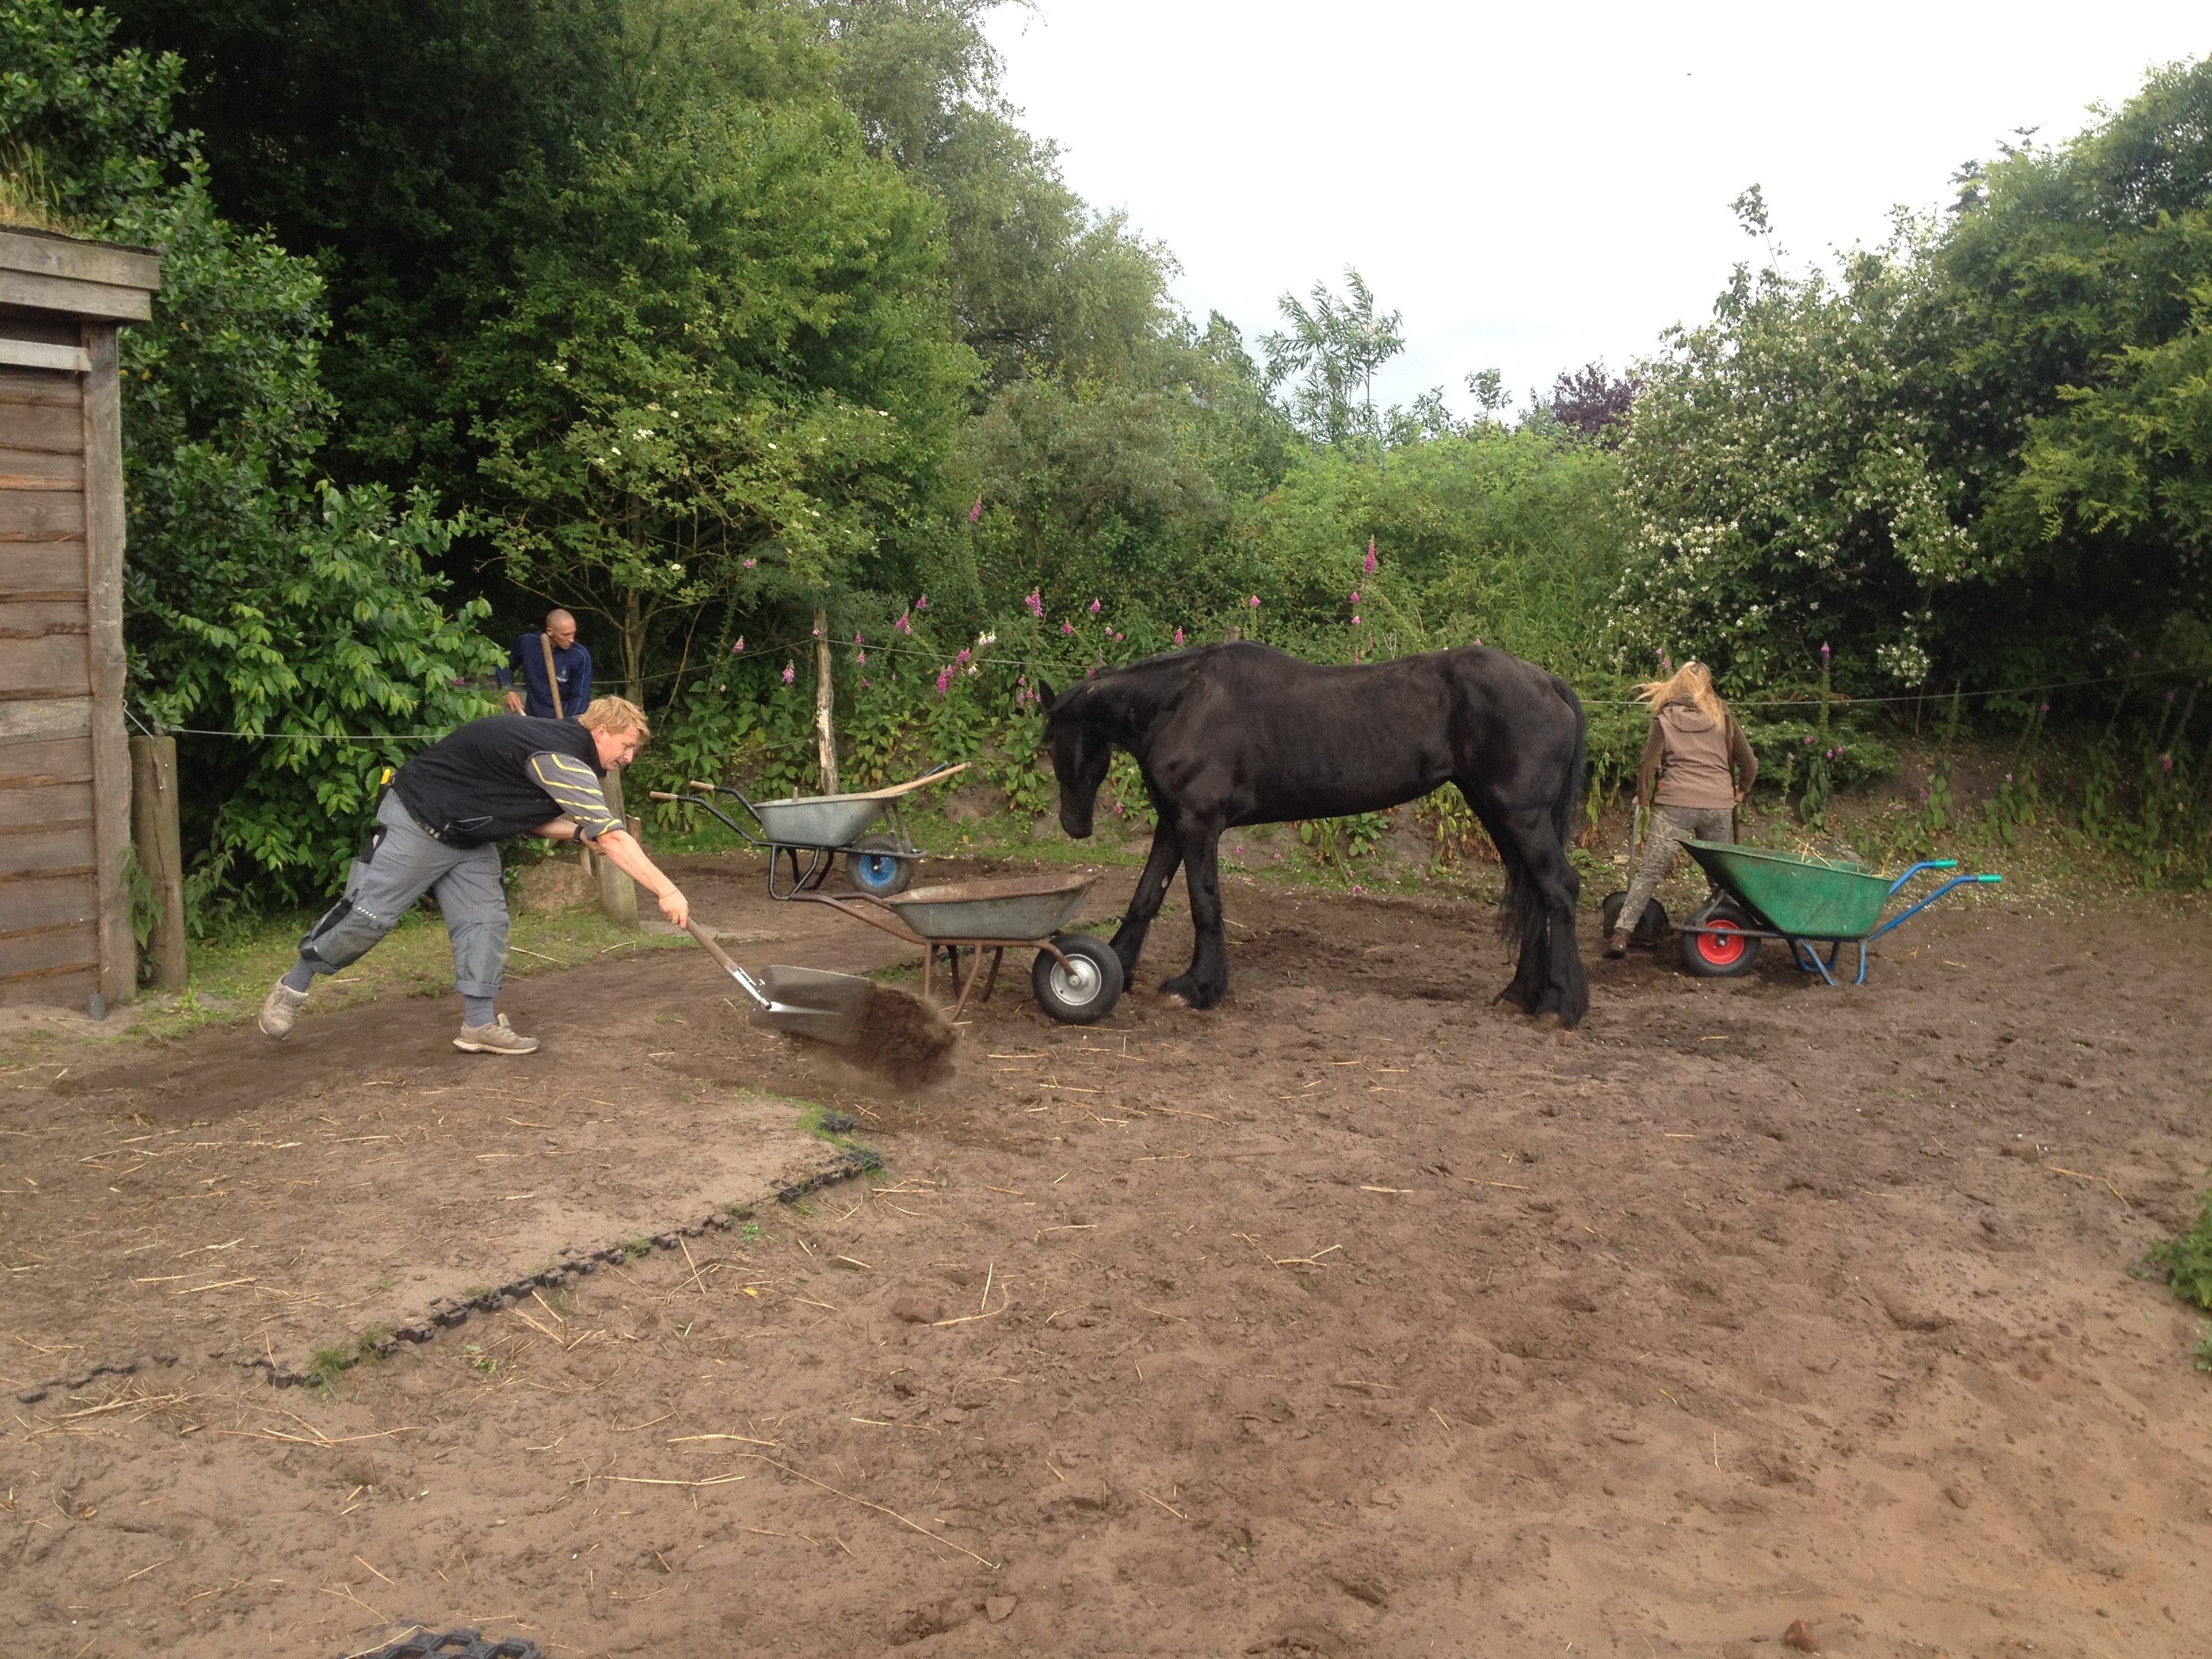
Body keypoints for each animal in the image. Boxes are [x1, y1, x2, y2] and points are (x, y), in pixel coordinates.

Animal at [1040, 646, 1593, 1026]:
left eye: (1051, 743)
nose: (1074, 826)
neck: (1183, 703)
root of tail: (1549, 683)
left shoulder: (1199, 824)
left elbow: (1205, 904)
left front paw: (1198, 988)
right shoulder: (1174, 824)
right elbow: (1146, 896)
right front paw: (1118, 967)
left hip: (1520, 814)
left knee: (1558, 888)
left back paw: (1560, 1005)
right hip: (1499, 813)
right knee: (1532, 889)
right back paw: (1522, 994)